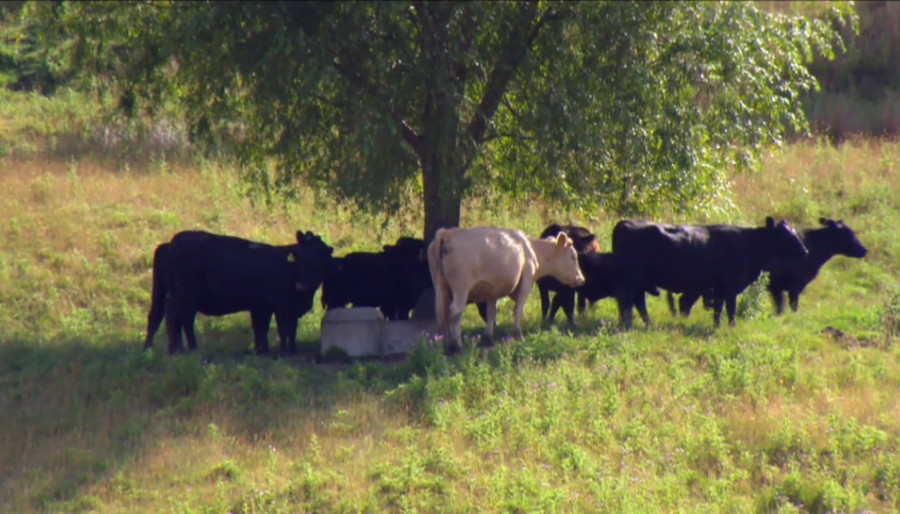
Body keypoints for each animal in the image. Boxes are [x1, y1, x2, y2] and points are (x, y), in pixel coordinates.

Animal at [143, 230, 334, 356]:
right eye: (300, 257)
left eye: (318, 259)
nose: (302, 286)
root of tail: (171, 243)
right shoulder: (280, 307)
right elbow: (282, 329)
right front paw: (282, 352)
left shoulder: (264, 307)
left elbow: (266, 329)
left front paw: (265, 351)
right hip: (184, 296)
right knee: (178, 317)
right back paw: (181, 348)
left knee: (162, 317)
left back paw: (154, 348)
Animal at [427, 226, 586, 353]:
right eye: (573, 257)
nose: (582, 279)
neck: (530, 249)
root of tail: (447, 232)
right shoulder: (526, 283)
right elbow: (518, 310)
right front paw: (519, 335)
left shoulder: (492, 290)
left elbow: (491, 313)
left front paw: (488, 338)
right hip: (461, 289)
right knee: (455, 312)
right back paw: (458, 346)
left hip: (441, 289)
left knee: (443, 312)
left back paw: (446, 345)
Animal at [611, 217, 808, 328]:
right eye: (786, 234)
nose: (805, 250)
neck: (748, 245)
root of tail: (625, 222)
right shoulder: (729, 286)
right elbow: (730, 308)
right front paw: (731, 327)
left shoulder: (720, 288)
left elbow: (719, 309)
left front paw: (718, 325)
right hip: (633, 278)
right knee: (631, 301)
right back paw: (631, 324)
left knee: (636, 302)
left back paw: (643, 323)